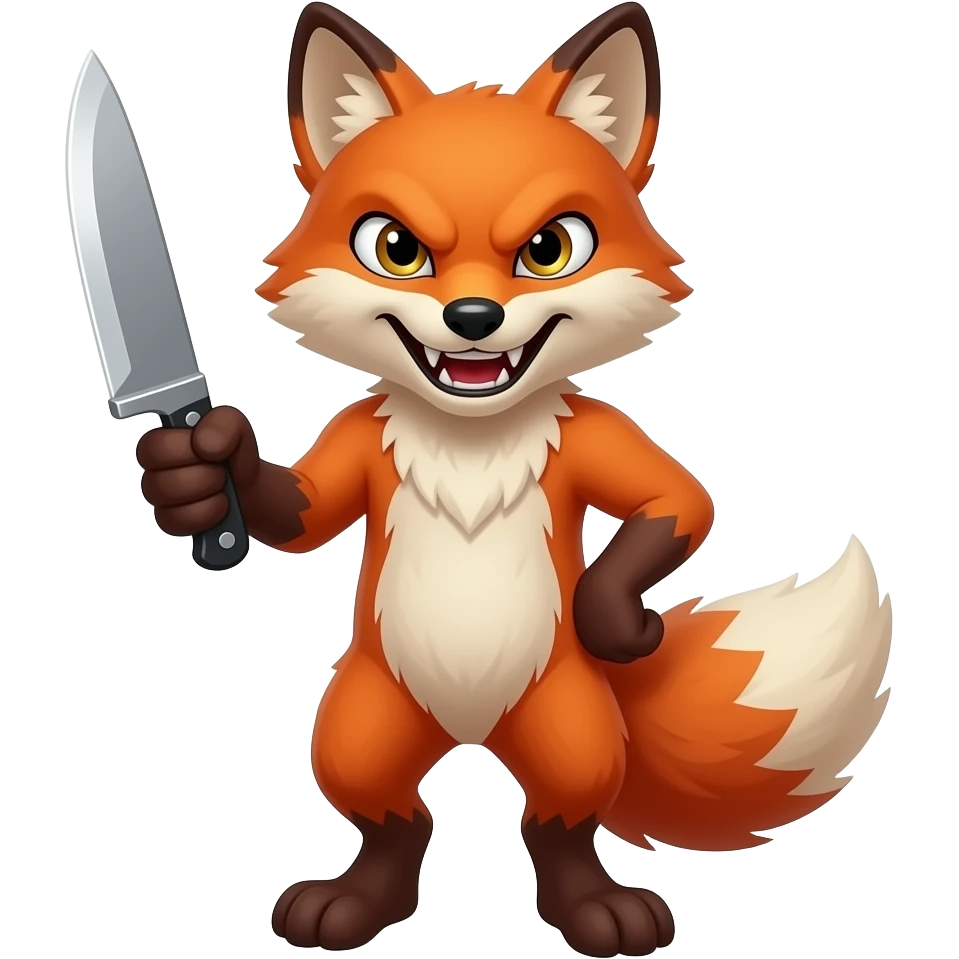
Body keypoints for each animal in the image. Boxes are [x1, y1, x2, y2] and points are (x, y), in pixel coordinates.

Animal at [135, 2, 894, 956]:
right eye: (395, 249)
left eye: (548, 249)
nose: (472, 317)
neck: (470, 436)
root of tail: (468, 729)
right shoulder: (357, 438)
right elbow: (299, 514)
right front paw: (197, 471)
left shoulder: (601, 439)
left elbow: (678, 501)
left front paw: (616, 621)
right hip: (360, 720)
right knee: (392, 814)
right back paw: (357, 902)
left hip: (573, 726)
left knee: (555, 820)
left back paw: (596, 909)